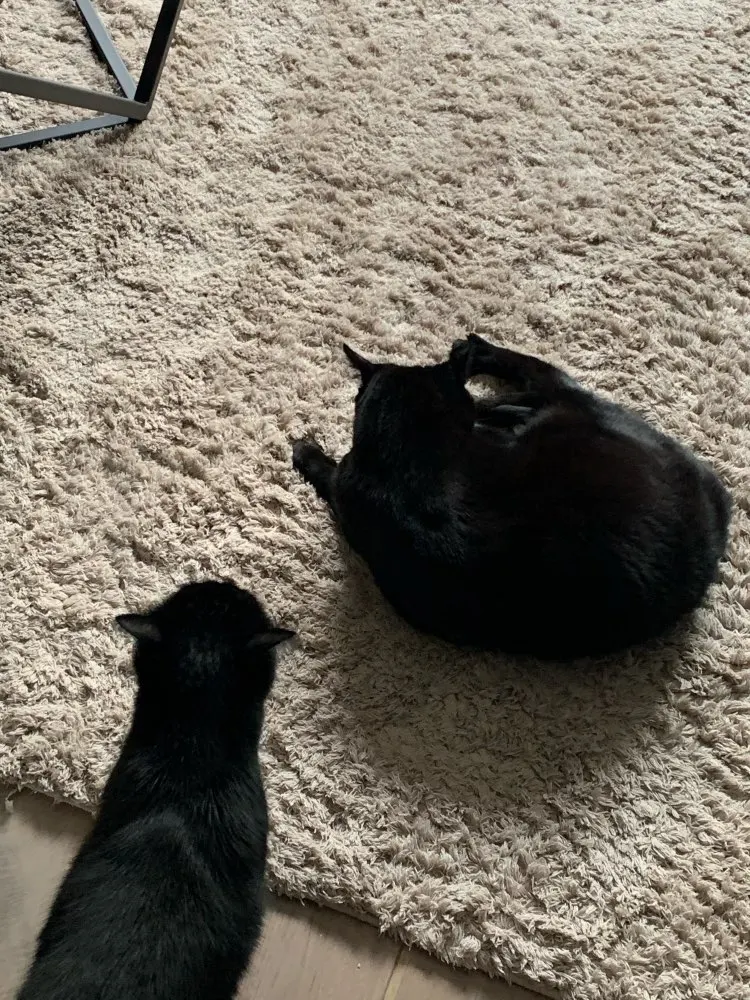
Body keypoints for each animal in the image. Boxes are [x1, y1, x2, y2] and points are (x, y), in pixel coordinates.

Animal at [292, 334, 731, 659]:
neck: (411, 451)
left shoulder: (346, 485)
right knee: (537, 390)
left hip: (576, 411)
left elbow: (327, 470)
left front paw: (304, 451)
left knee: (546, 378)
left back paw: (477, 354)